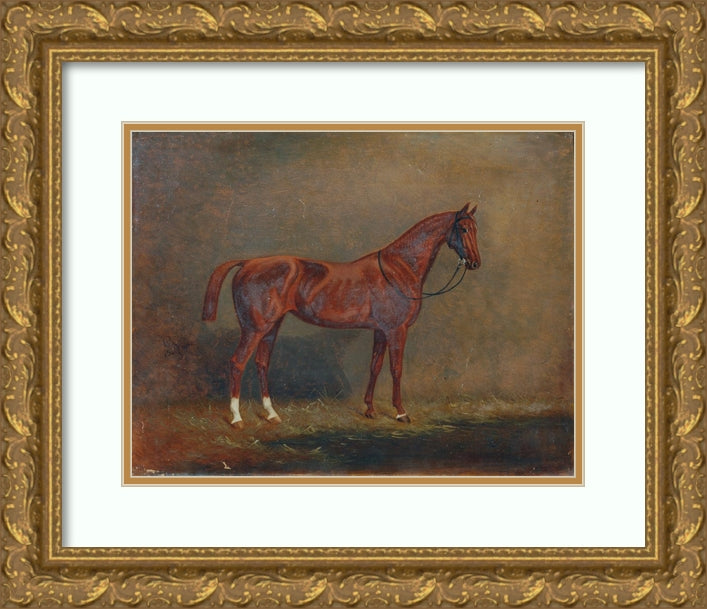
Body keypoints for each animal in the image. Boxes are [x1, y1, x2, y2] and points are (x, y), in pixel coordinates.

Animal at [202, 201, 481, 429]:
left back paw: (271, 414)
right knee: (237, 363)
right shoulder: (396, 330)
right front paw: (401, 413)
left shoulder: (380, 331)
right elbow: (396, 369)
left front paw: (370, 409)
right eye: (464, 229)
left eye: (476, 229)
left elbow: (375, 367)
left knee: (261, 363)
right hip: (254, 329)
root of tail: (248, 263)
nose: (475, 263)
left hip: (271, 327)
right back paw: (237, 418)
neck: (399, 268)